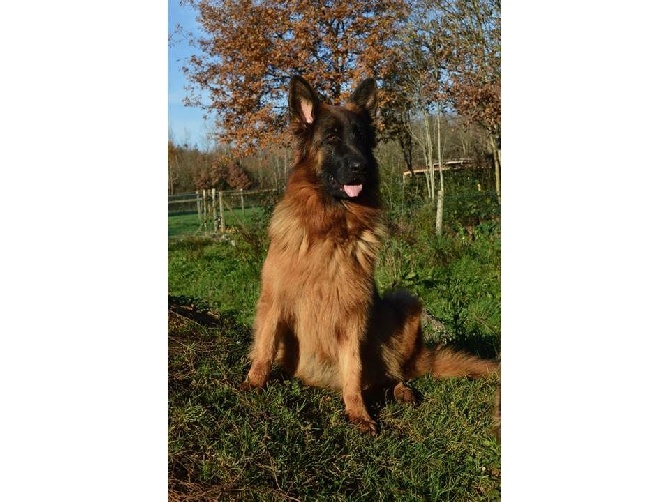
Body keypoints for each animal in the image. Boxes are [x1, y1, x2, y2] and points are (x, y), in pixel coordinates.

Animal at [245, 75, 498, 436]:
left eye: (362, 138)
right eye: (332, 138)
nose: (361, 167)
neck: (329, 227)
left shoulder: (353, 313)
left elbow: (353, 368)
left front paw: (358, 413)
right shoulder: (274, 300)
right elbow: (265, 347)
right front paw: (253, 383)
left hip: (405, 301)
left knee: (391, 375)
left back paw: (402, 391)